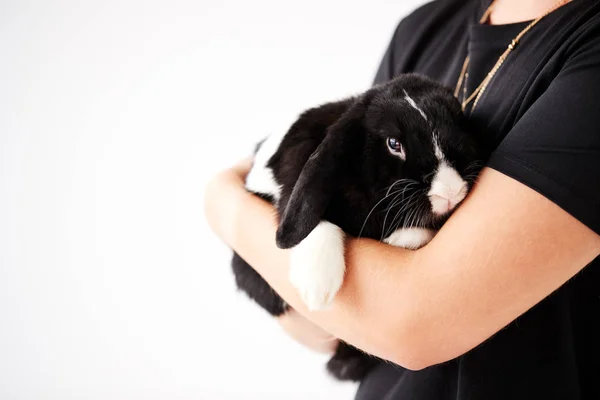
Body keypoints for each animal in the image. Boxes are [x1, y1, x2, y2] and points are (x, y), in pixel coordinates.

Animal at [230, 73, 482, 382]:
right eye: (393, 143)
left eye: (458, 125)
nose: (450, 192)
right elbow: (310, 216)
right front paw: (317, 288)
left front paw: (404, 239)